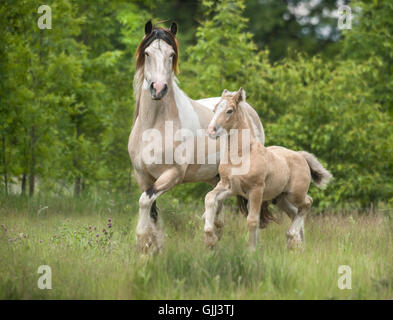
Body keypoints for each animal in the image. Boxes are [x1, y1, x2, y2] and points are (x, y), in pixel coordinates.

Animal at [129, 21, 264, 254]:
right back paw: (213, 237)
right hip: (216, 177)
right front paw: (153, 248)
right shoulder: (142, 176)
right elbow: (151, 209)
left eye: (172, 54)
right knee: (217, 207)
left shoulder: (172, 175)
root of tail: (248, 109)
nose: (158, 88)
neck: (154, 126)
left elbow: (144, 202)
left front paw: (144, 241)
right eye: (147, 53)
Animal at [204, 87, 332, 250]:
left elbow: (253, 220)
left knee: (308, 202)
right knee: (295, 211)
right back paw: (296, 242)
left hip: (295, 194)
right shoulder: (229, 187)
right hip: (280, 198)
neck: (242, 154)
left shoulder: (256, 189)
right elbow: (210, 198)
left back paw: (292, 235)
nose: (211, 131)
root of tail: (300, 155)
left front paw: (251, 250)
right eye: (214, 109)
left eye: (229, 111)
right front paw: (210, 238)